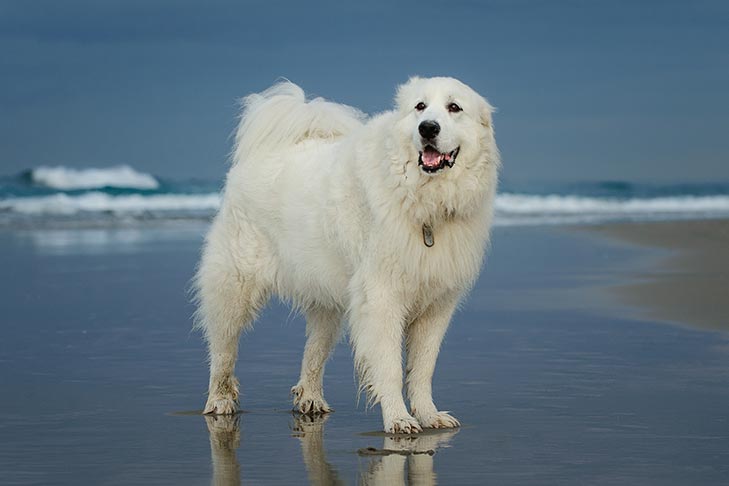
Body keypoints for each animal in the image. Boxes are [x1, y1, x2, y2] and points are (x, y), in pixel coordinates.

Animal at [195, 76, 500, 432]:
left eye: (454, 107)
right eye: (420, 107)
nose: (427, 128)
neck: (423, 202)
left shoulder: (437, 305)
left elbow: (423, 368)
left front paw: (428, 414)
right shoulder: (382, 299)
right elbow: (390, 367)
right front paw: (398, 419)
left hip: (325, 299)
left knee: (314, 352)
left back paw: (310, 399)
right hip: (235, 286)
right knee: (223, 349)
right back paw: (220, 401)